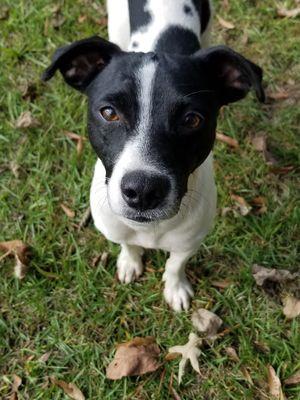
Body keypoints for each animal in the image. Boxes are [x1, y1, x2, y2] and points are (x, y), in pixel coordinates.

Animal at [42, 0, 264, 312]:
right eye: (109, 112)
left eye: (192, 119)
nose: (143, 191)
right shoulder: (115, 227)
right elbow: (127, 244)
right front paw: (130, 262)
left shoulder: (189, 241)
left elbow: (175, 264)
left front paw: (175, 288)